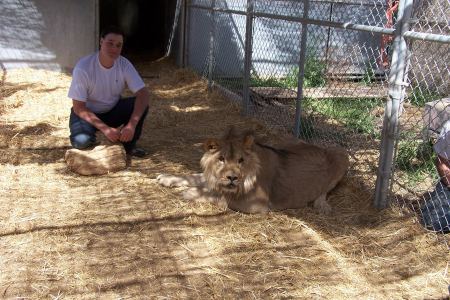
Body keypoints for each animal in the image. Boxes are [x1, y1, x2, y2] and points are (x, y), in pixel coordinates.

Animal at [156, 126, 350, 213]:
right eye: (221, 159)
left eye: (241, 160)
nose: (232, 178)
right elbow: (195, 177)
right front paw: (167, 178)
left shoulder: (257, 203)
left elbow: (219, 195)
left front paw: (190, 192)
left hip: (341, 153)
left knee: (324, 192)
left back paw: (321, 204)